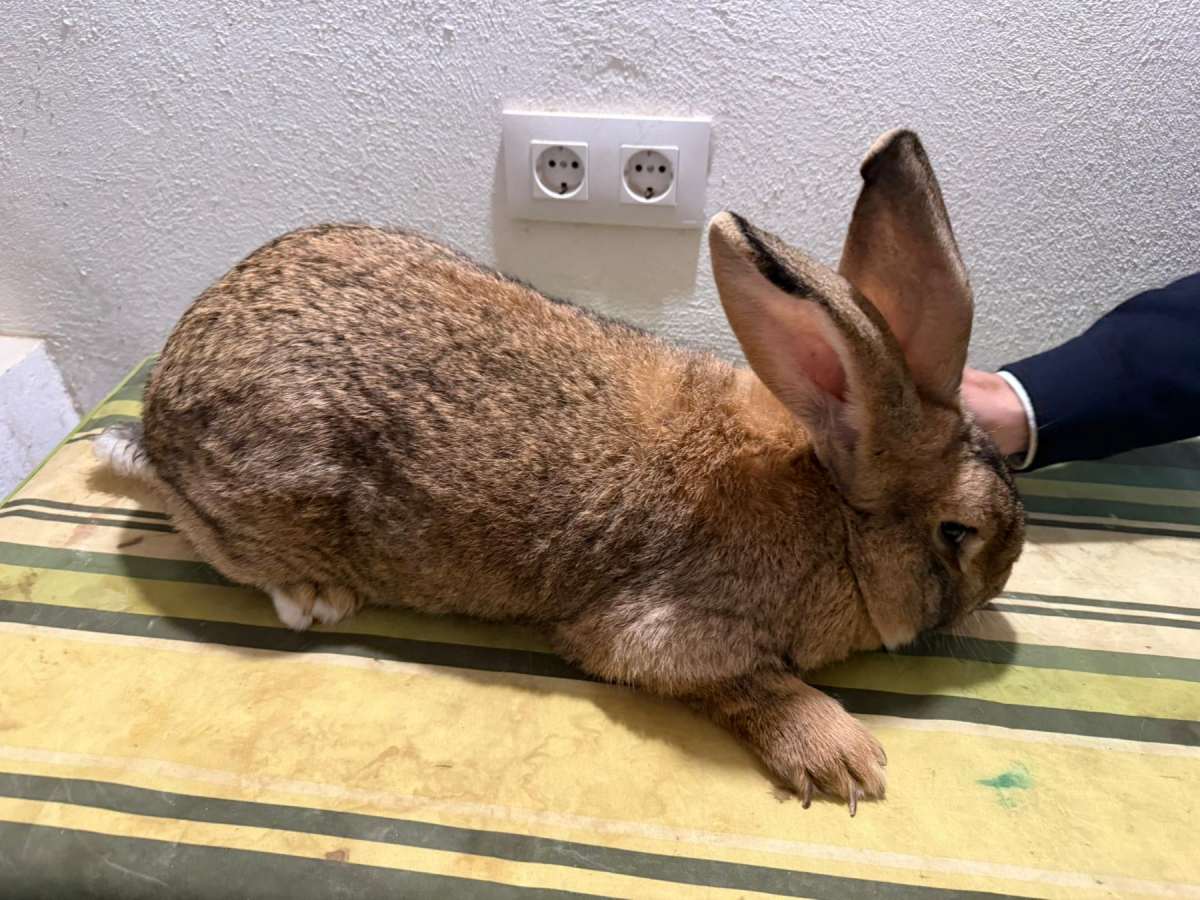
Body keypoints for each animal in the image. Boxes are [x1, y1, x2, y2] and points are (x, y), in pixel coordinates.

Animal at [95, 129, 1024, 813]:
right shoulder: (656, 633)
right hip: (264, 496)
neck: (828, 503)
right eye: (958, 533)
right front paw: (843, 758)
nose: (1002, 581)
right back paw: (309, 592)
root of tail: (163, 401)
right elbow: (743, 681)